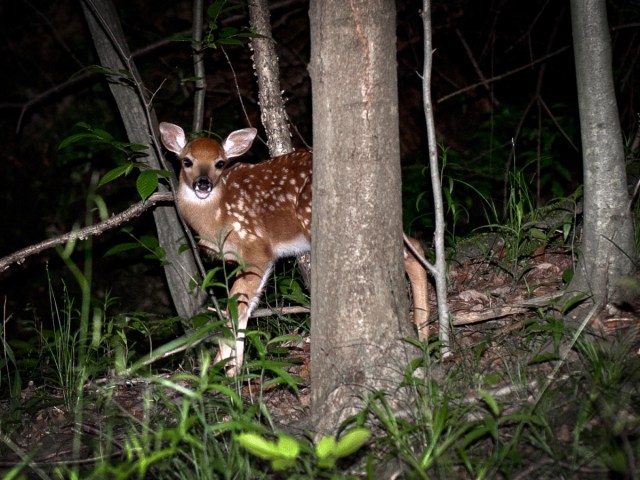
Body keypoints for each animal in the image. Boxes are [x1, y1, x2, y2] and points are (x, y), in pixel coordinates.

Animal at [159, 122, 429, 376]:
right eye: (187, 161)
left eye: (220, 163)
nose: (203, 184)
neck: (216, 218)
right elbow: (245, 305)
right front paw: (228, 369)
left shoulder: (256, 245)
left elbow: (237, 304)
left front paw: (224, 371)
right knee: (415, 245)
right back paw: (425, 335)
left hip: (315, 216)